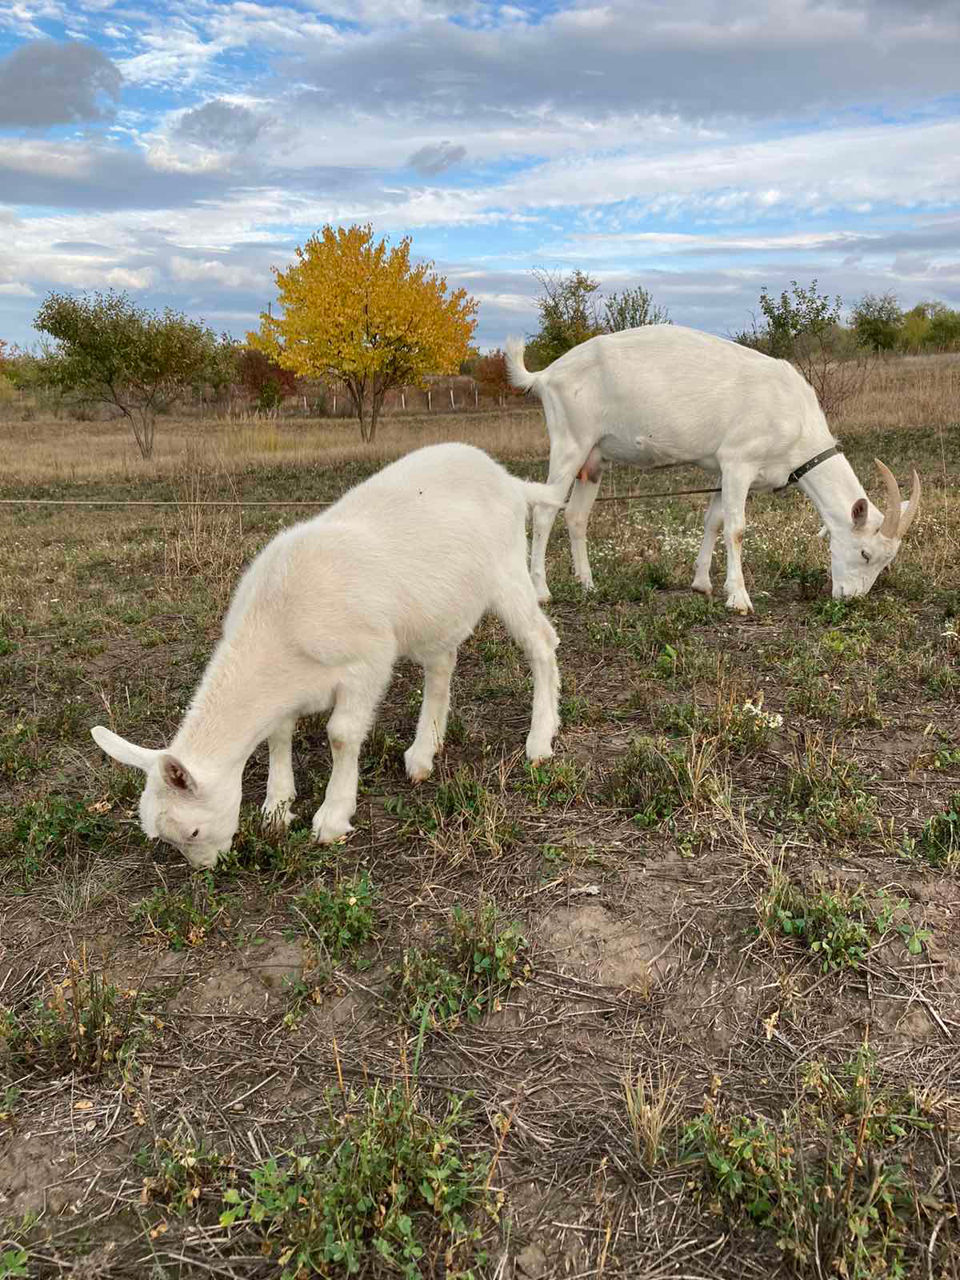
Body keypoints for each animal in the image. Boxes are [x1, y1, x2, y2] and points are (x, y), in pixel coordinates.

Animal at [90, 442, 563, 870]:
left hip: (508, 571)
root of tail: (509, 480)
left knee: (542, 641)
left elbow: (341, 735)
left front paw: (332, 817)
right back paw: (422, 754)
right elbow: (279, 733)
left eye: (191, 831)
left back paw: (540, 739)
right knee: (442, 664)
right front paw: (277, 807)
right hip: (438, 608)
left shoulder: (367, 662)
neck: (276, 625)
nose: (206, 867)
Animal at [506, 327, 921, 611]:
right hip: (570, 442)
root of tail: (545, 376)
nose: (851, 598)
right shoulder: (738, 461)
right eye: (865, 553)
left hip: (594, 458)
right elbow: (736, 528)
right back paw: (541, 591)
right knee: (544, 512)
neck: (796, 419)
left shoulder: (724, 472)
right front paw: (738, 597)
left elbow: (714, 521)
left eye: (885, 563)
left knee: (576, 516)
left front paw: (702, 583)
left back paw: (588, 584)